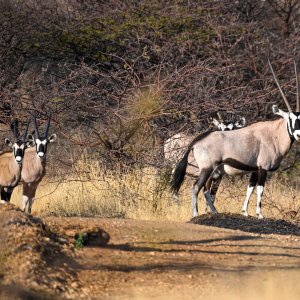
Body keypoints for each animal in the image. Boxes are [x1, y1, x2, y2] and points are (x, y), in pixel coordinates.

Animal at [172, 61, 300, 219]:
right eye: (290, 118)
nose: (298, 134)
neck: (274, 134)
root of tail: (196, 141)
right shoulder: (263, 168)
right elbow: (260, 189)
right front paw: (260, 214)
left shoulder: (255, 169)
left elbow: (250, 189)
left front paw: (245, 212)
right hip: (207, 169)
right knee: (196, 187)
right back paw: (196, 215)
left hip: (213, 172)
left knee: (206, 190)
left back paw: (215, 212)